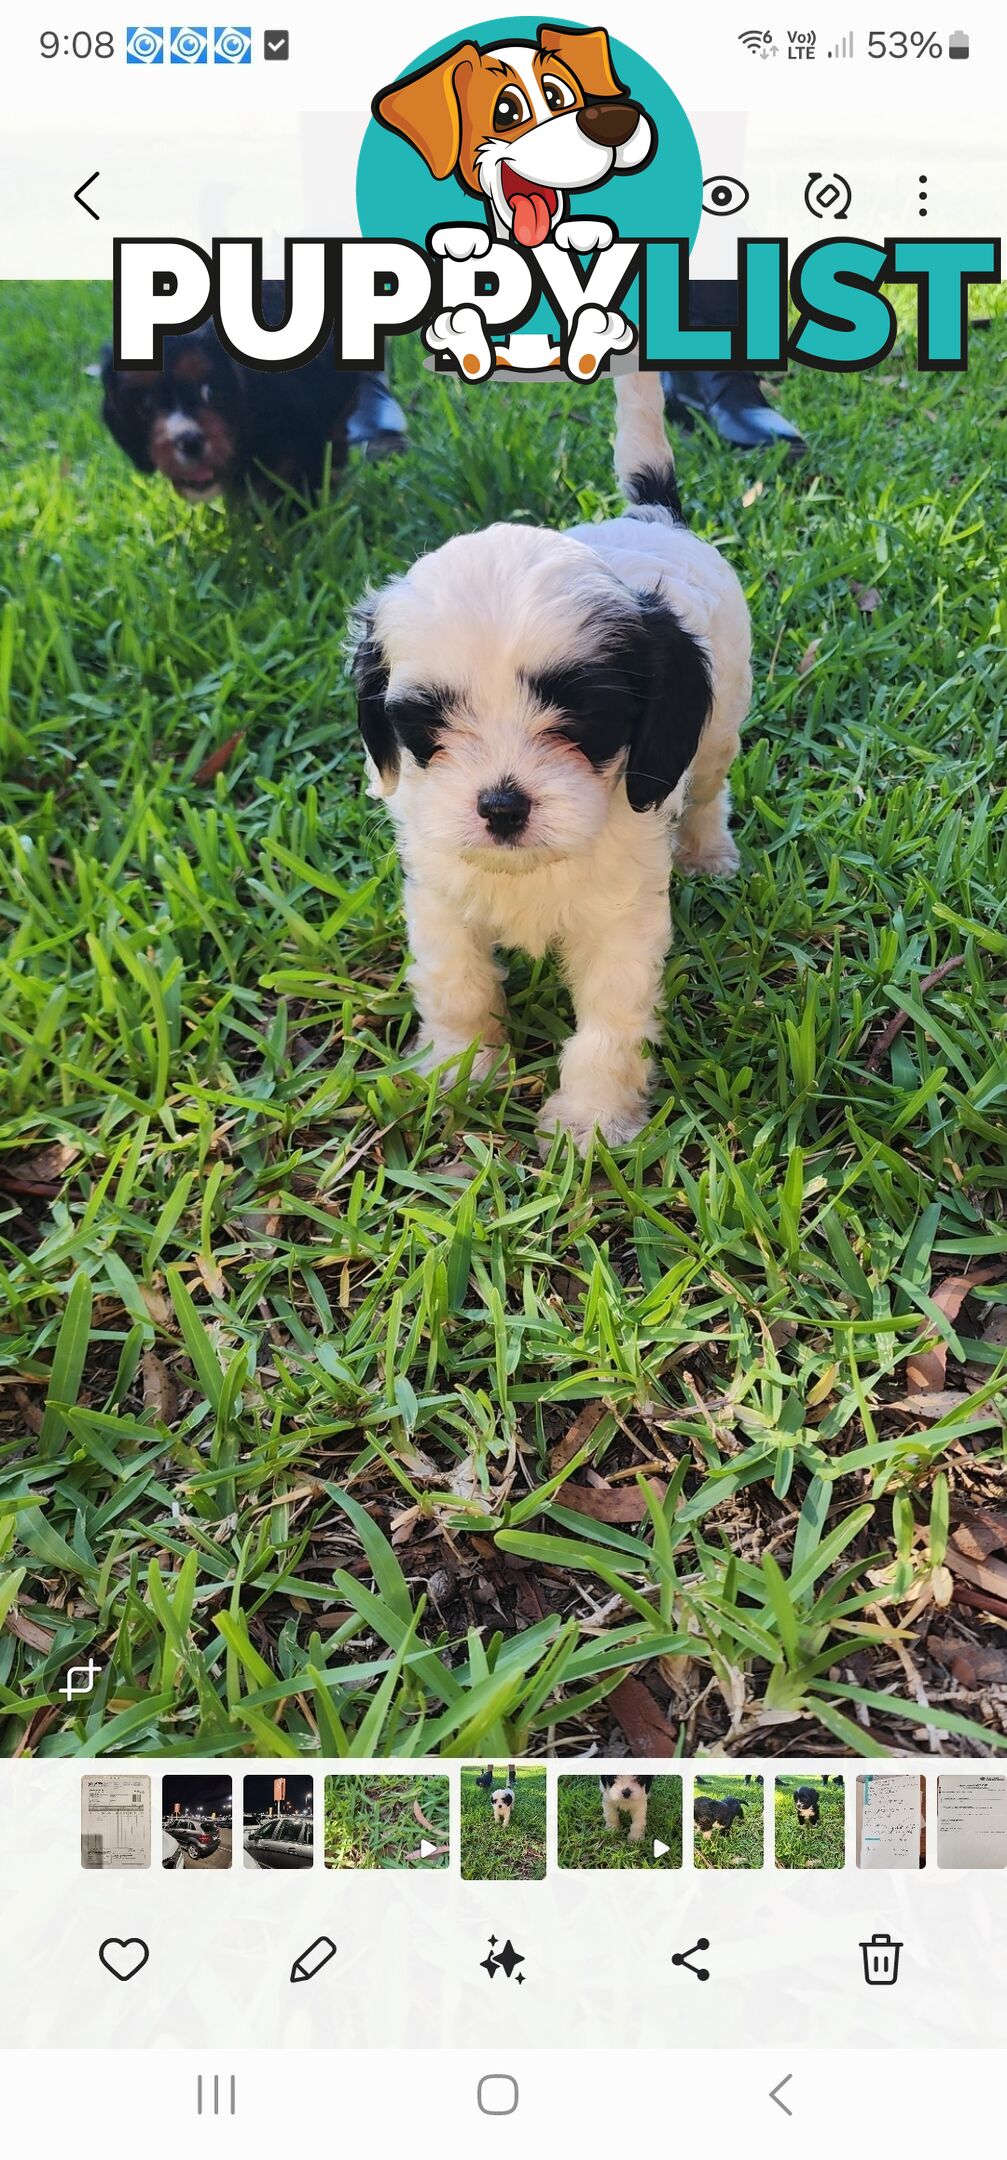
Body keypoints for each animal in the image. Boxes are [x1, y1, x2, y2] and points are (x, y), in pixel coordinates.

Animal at [350, 371, 752, 1149]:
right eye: (429, 721)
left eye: (582, 719)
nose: (501, 806)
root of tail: (652, 515)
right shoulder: (441, 897)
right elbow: (457, 983)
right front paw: (460, 1070)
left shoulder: (622, 921)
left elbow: (609, 1023)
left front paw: (591, 1120)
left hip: (719, 722)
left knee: (709, 785)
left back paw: (706, 850)